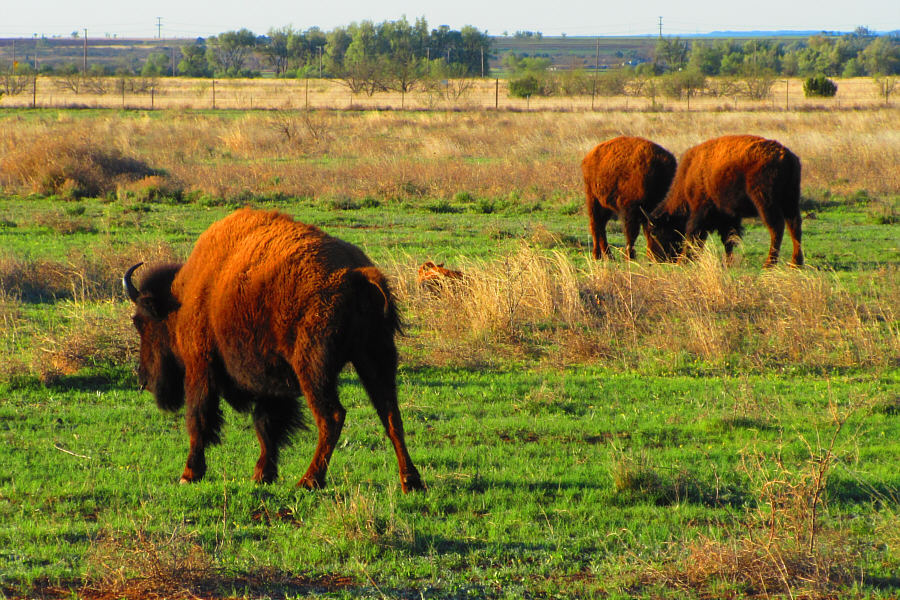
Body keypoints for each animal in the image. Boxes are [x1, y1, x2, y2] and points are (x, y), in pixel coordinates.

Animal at [123, 208, 425, 493]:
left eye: (141, 323)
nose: (144, 380)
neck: (184, 297)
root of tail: (360, 274)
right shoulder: (271, 383)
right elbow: (266, 425)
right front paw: (262, 475)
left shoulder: (200, 366)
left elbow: (199, 419)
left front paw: (189, 474)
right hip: (375, 357)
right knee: (391, 415)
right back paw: (411, 481)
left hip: (314, 369)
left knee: (333, 416)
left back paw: (309, 480)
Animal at [648, 135, 803, 267]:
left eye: (655, 232)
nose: (654, 259)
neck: (688, 175)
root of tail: (787, 156)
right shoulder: (728, 216)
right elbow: (728, 239)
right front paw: (728, 264)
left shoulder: (701, 209)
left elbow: (693, 233)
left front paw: (684, 260)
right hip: (790, 200)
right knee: (794, 225)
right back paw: (796, 264)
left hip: (765, 201)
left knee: (777, 227)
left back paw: (769, 264)